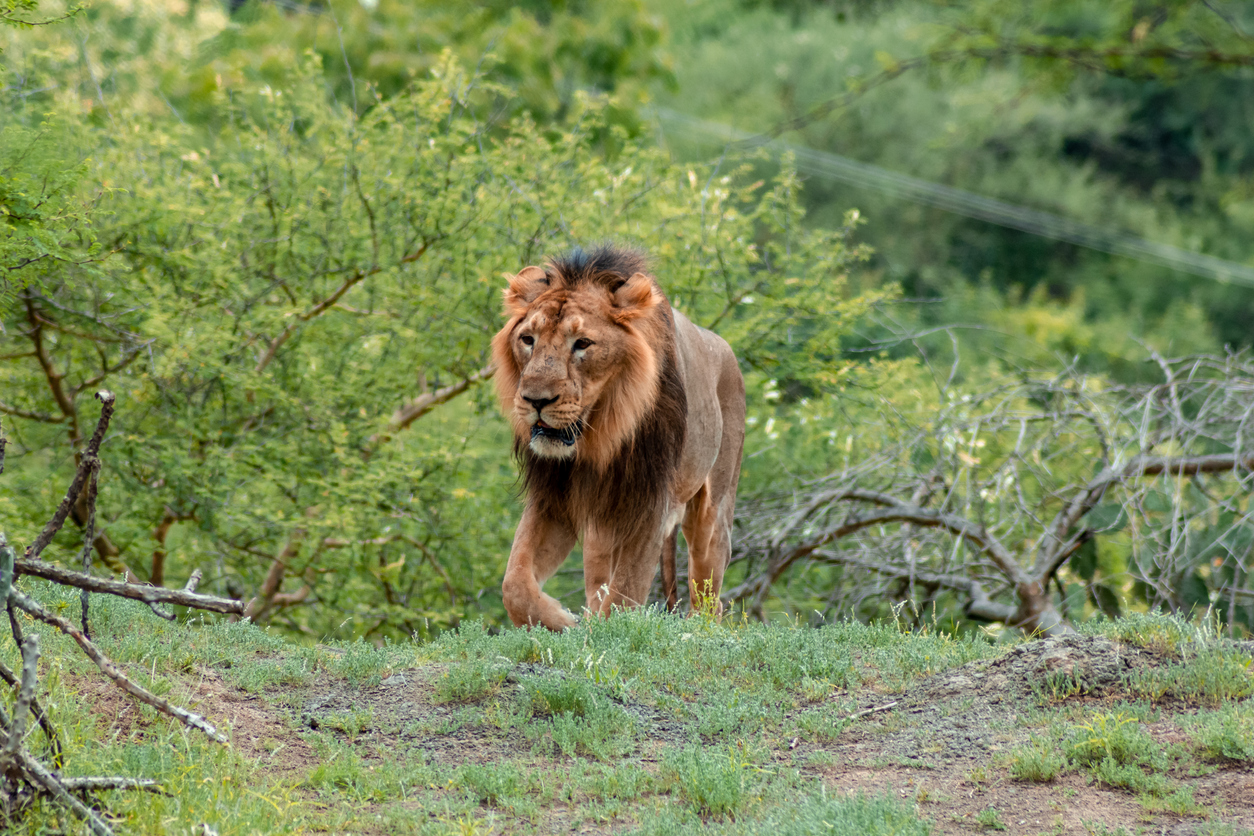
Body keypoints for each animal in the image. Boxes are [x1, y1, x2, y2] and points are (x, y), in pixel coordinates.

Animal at [490, 245, 746, 630]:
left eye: (582, 343)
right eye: (528, 340)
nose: (535, 400)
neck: (600, 439)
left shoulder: (651, 501)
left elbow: (626, 591)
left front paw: (607, 633)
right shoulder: (552, 497)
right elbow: (515, 584)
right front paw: (564, 622)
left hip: (713, 511)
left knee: (708, 593)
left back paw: (700, 631)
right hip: (602, 530)